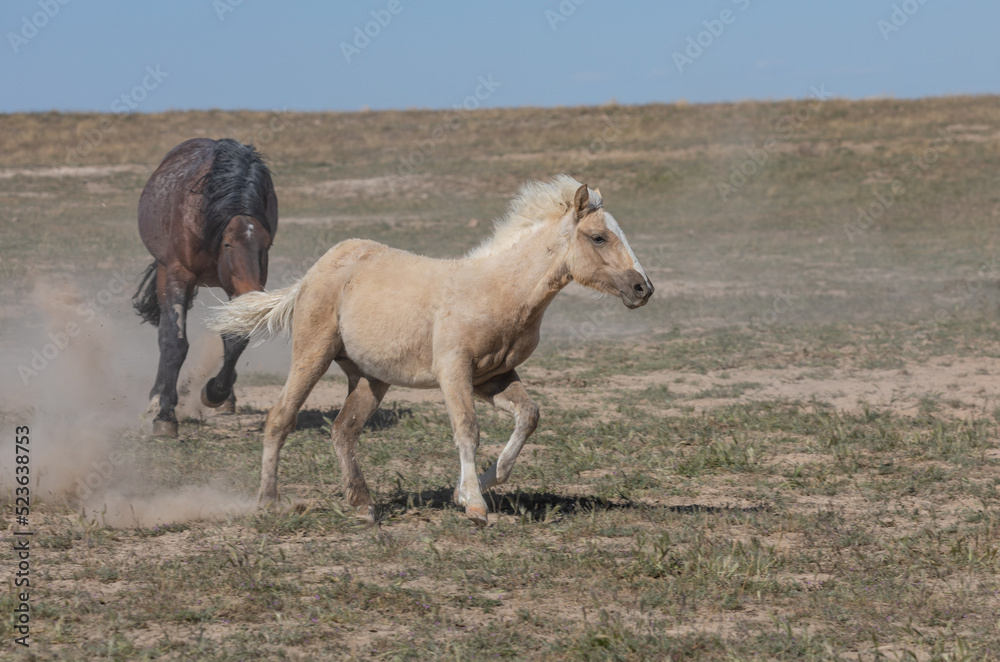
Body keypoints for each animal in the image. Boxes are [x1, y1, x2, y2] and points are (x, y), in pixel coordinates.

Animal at [133, 138, 278, 438]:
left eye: (266, 244)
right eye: (228, 243)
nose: (252, 295)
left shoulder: (238, 285)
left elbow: (235, 340)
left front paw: (215, 392)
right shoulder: (178, 274)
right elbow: (174, 343)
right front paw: (165, 415)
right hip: (165, 273)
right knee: (165, 334)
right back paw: (156, 398)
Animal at [209, 175, 652, 526]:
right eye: (598, 236)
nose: (643, 288)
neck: (500, 291)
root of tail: (312, 274)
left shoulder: (493, 377)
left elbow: (528, 417)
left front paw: (473, 488)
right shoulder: (454, 370)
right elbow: (467, 429)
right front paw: (474, 504)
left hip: (371, 378)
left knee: (343, 430)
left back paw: (362, 506)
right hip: (312, 353)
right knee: (280, 418)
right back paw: (269, 502)